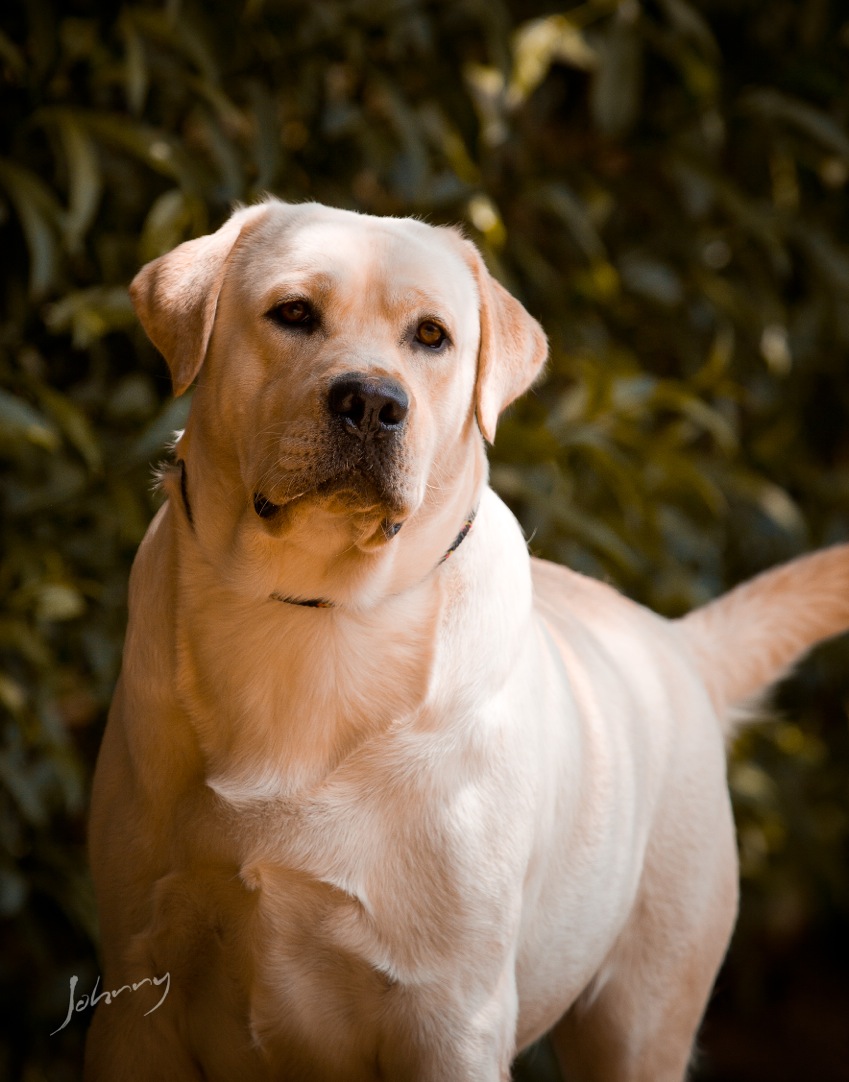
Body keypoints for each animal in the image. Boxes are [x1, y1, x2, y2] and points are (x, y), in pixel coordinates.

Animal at [85, 199, 847, 1077]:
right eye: (293, 313)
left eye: (430, 336)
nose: (372, 402)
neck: (315, 608)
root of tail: (672, 644)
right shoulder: (136, 991)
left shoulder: (452, 1015)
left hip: (642, 1012)